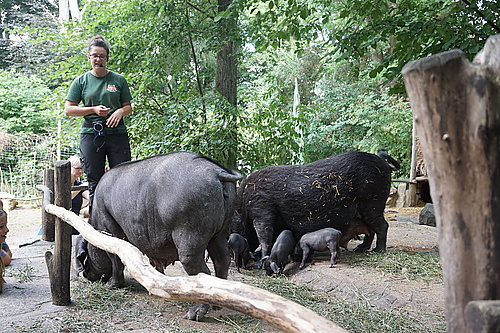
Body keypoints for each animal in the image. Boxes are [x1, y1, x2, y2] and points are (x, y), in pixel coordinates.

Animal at [75, 152, 243, 320]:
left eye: (87, 256)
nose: (86, 275)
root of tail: (216, 171)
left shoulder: (109, 229)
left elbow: (115, 258)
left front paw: (111, 284)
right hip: (222, 230)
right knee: (222, 258)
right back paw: (217, 306)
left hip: (191, 231)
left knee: (201, 270)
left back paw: (192, 315)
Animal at [234, 151, 398, 260]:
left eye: (233, 228)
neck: (244, 205)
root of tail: (385, 164)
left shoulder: (261, 208)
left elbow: (264, 236)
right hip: (367, 209)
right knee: (370, 230)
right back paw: (359, 249)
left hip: (373, 202)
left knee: (382, 226)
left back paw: (378, 250)